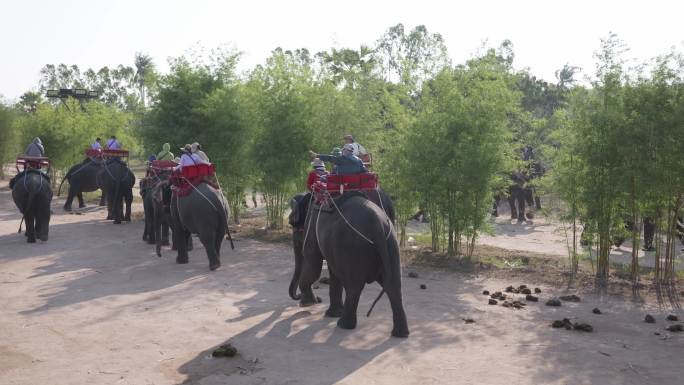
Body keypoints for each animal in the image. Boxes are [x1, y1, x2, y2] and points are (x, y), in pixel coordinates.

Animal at [288, 191, 408, 336]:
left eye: (293, 226)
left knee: (354, 288)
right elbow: (333, 272)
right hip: (391, 244)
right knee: (393, 287)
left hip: (353, 248)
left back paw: (343, 324)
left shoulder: (312, 230)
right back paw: (400, 333)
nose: (319, 299)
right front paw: (331, 313)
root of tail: (378, 225)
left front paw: (307, 304)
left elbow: (314, 266)